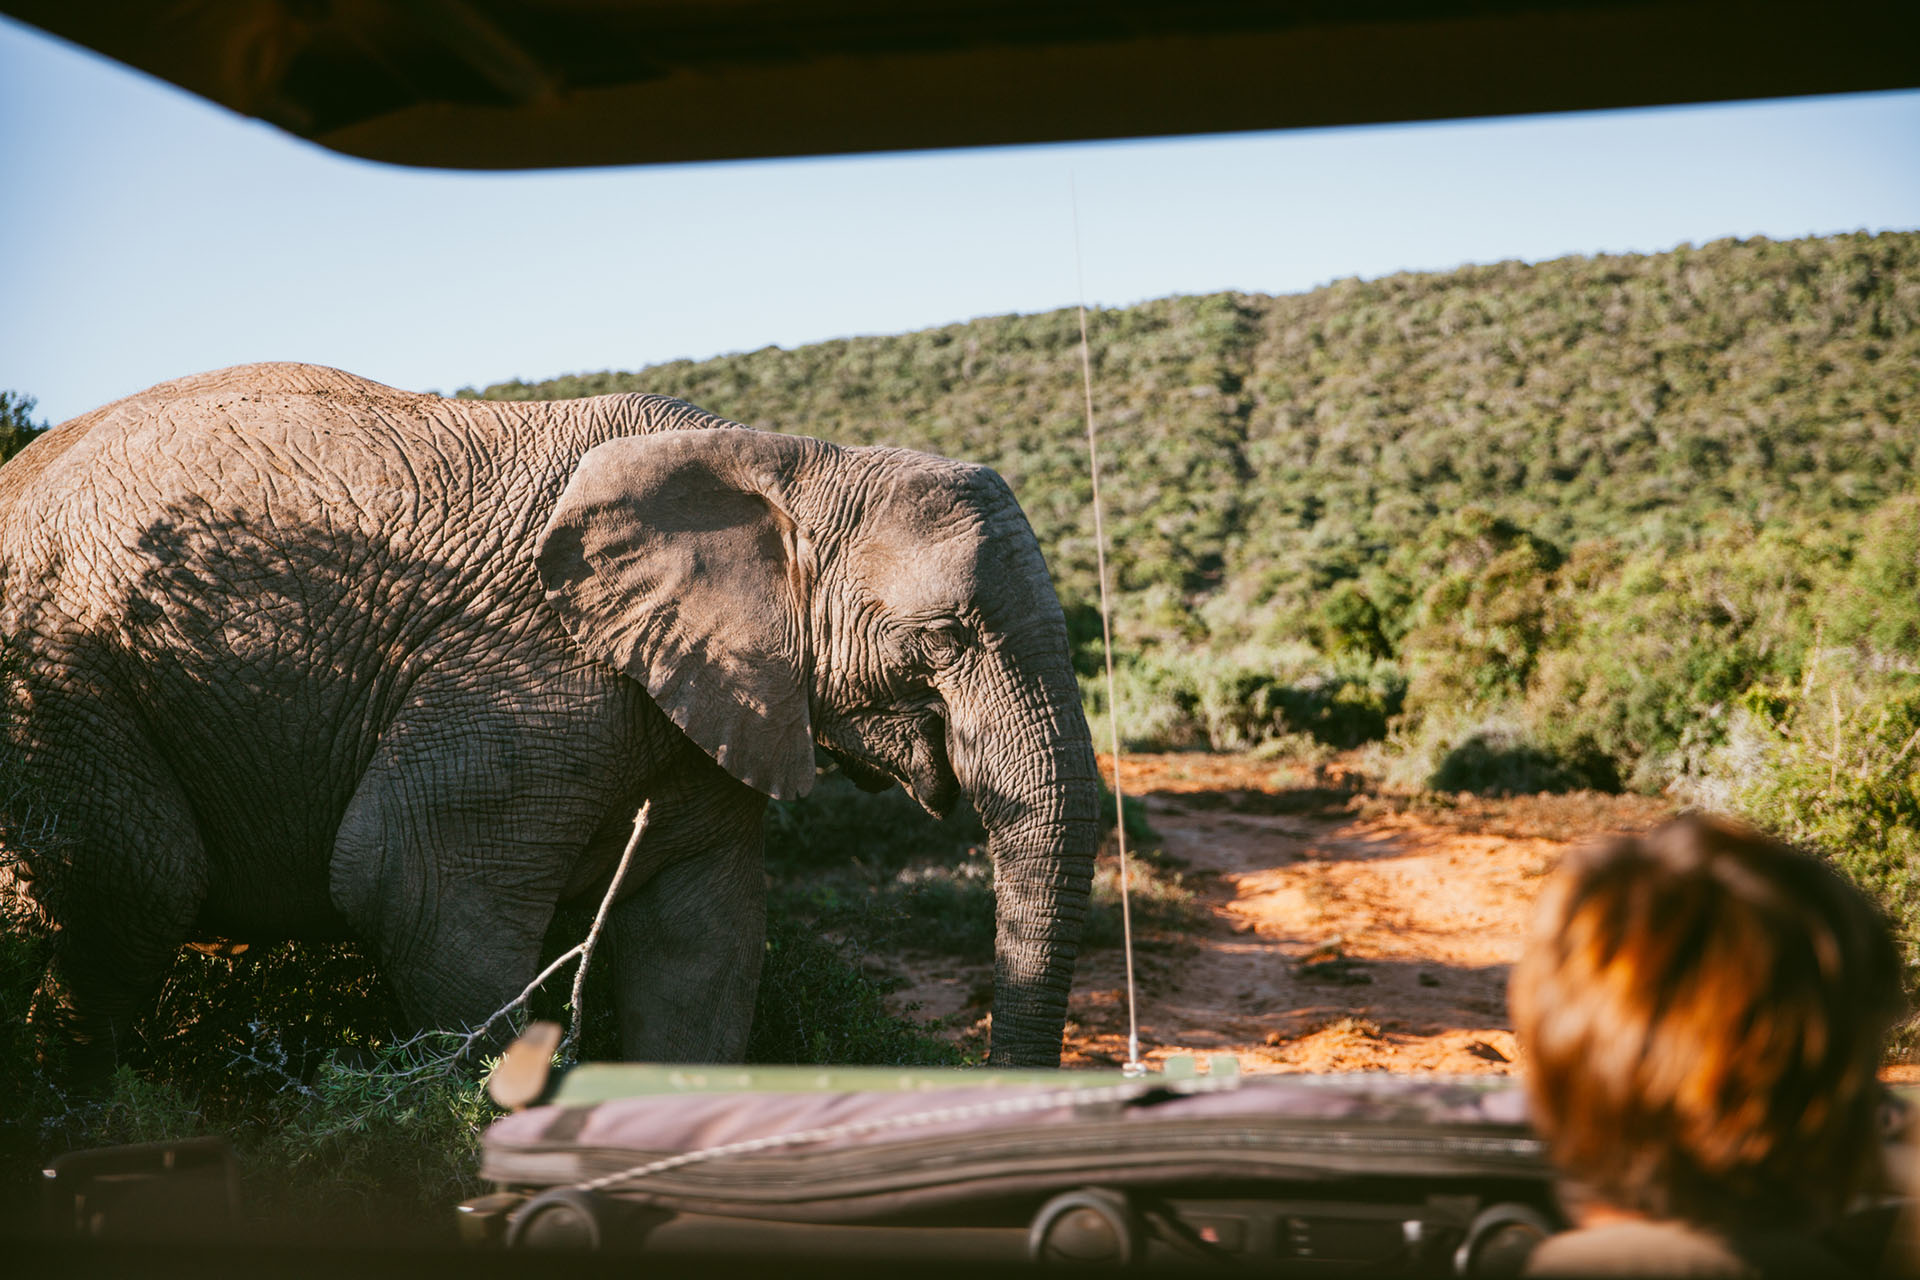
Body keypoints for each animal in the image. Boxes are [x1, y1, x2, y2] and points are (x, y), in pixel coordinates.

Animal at [0, 362, 1105, 1074]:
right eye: (943, 635)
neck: (786, 463)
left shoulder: (702, 694)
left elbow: (703, 945)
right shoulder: (525, 669)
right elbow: (415, 885)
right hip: (57, 677)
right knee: (136, 885)